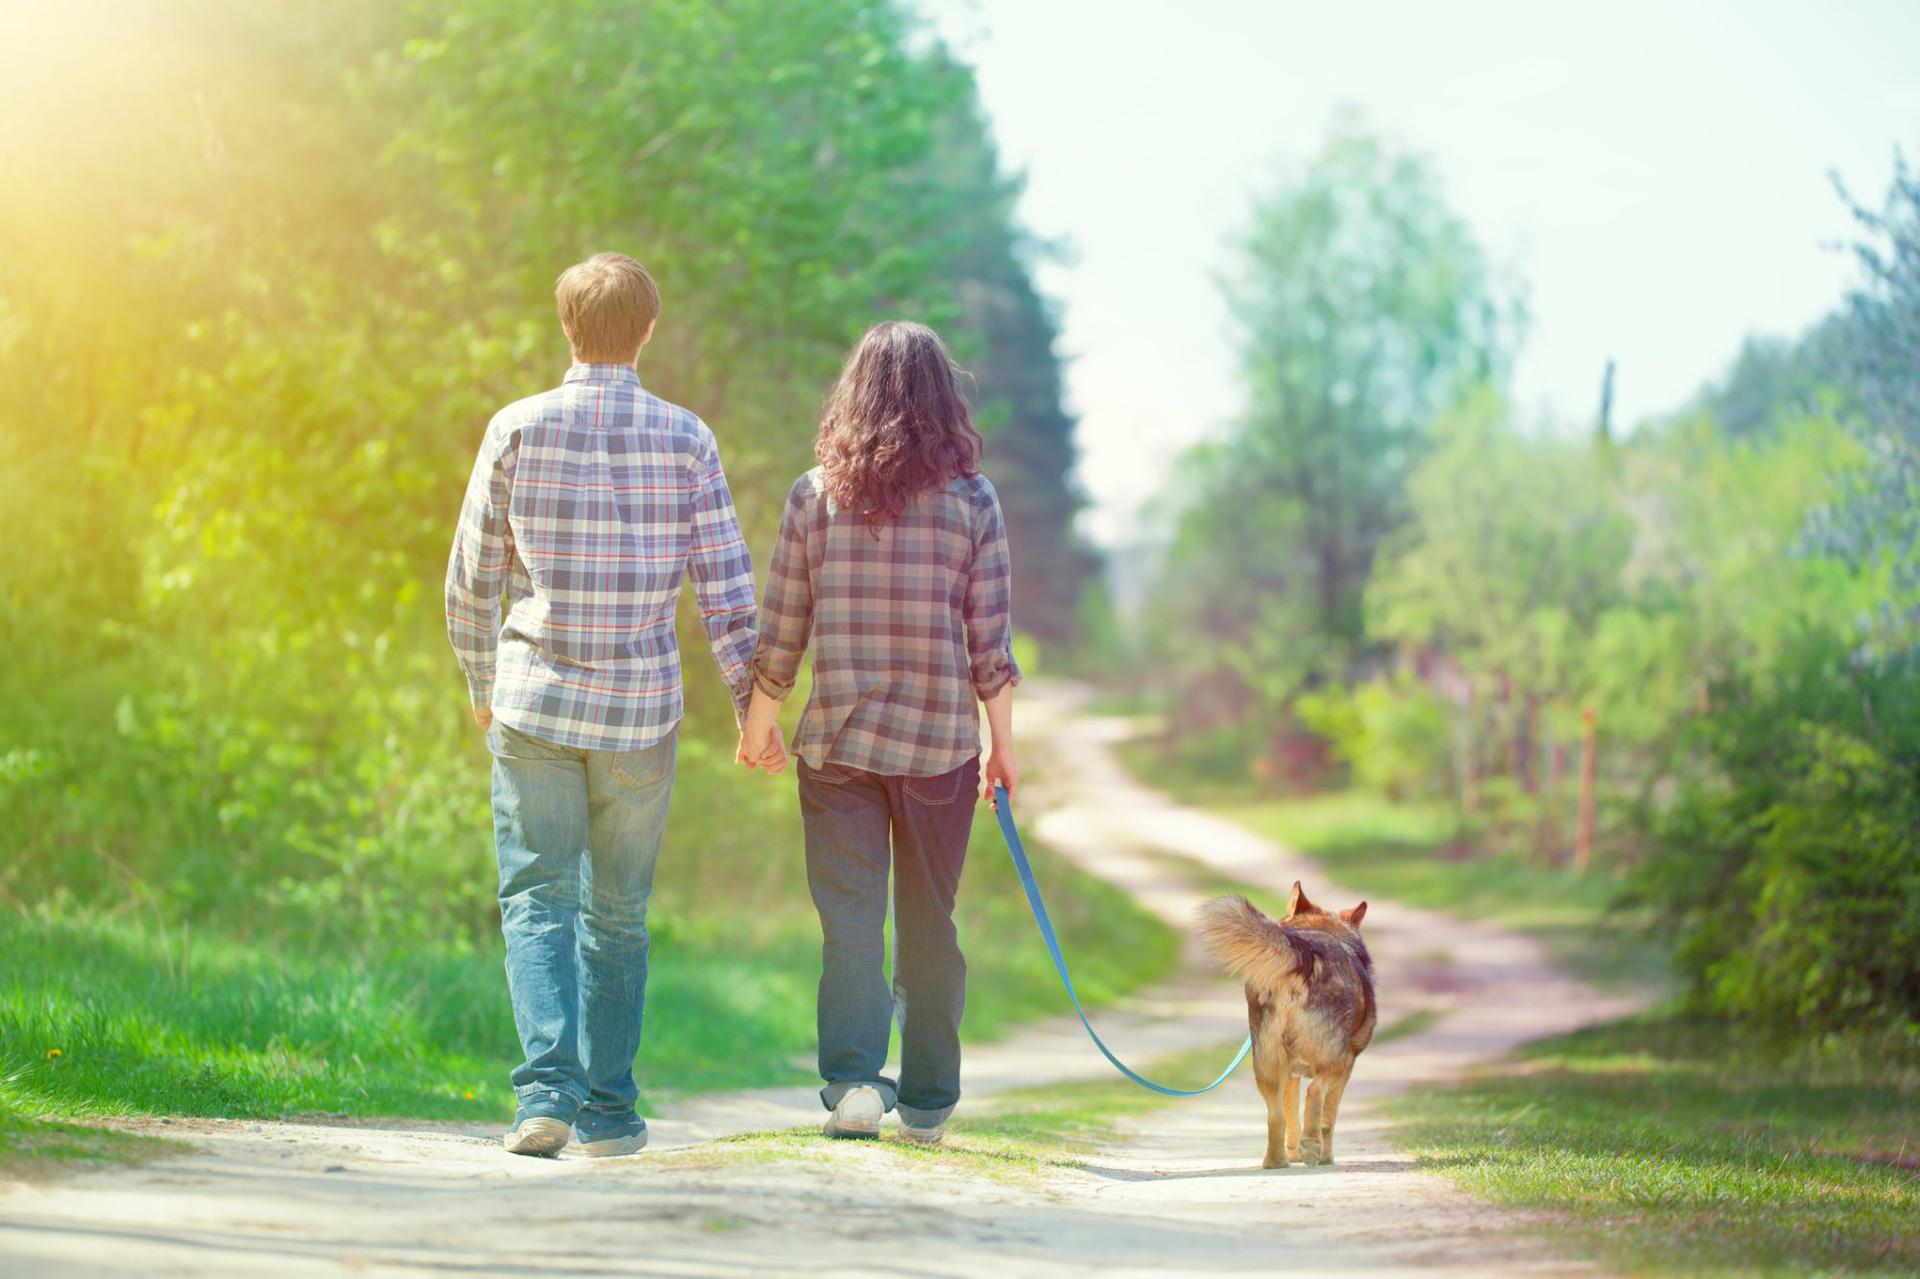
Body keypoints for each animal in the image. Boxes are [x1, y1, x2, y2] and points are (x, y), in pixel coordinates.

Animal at [1190, 875, 1374, 1167]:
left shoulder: (1291, 1073)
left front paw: (1295, 1153)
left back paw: (1276, 1160)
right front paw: (1326, 1156)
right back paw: (1312, 1147)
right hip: (1330, 1060)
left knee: (1276, 1116)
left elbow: (1291, 1115)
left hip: (1267, 1063)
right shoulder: (1347, 1065)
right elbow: (1329, 1118)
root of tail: (1306, 955)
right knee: (1315, 1093)